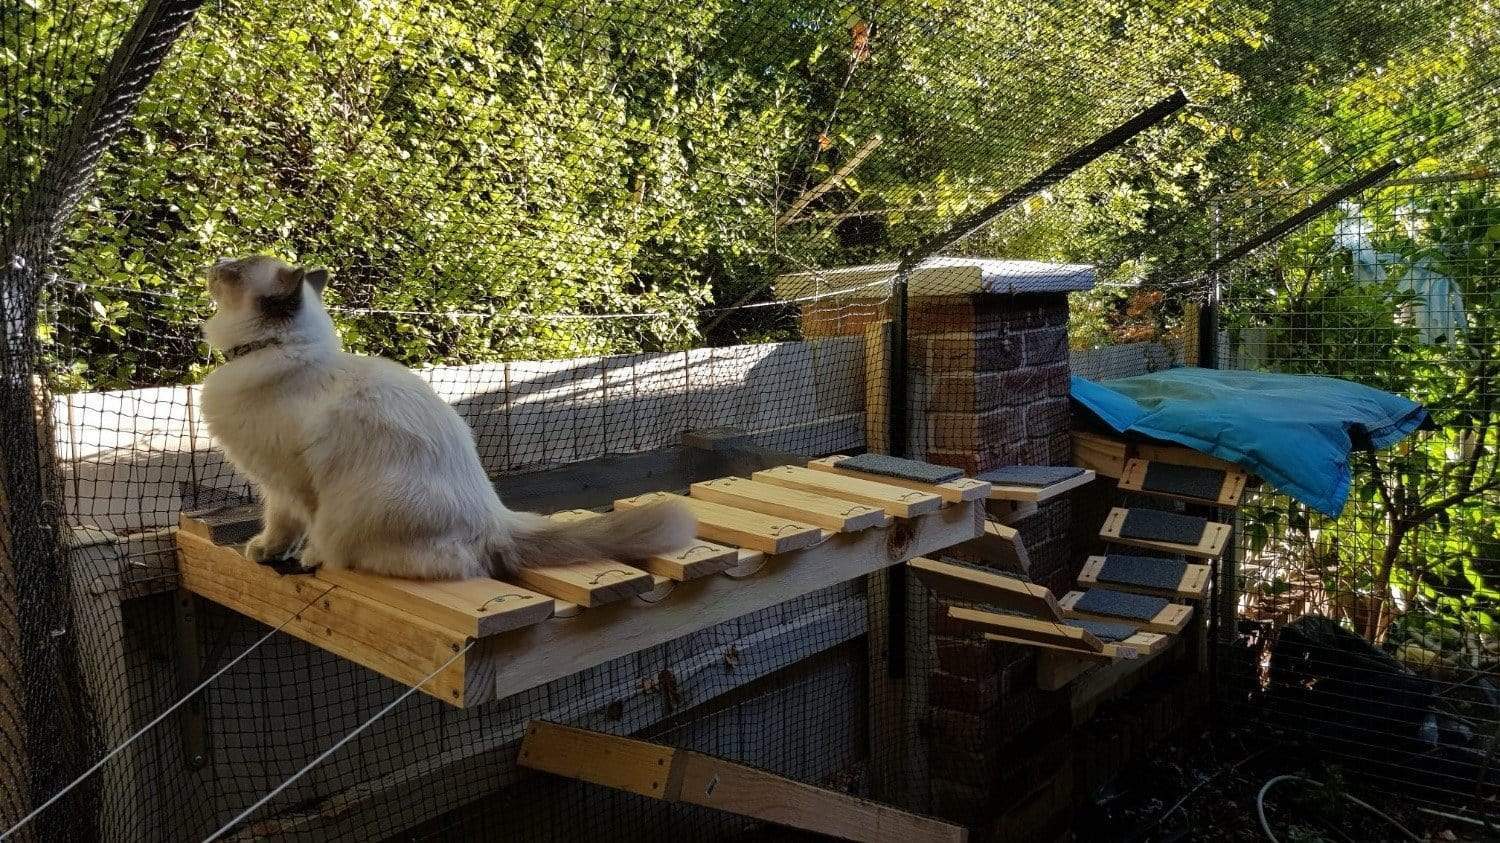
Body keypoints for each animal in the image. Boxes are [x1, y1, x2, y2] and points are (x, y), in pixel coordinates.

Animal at [196, 258, 693, 576]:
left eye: (234, 272)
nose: (214, 262)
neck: (277, 352)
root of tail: (496, 520)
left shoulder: (289, 484)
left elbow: (293, 529)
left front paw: (292, 556)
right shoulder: (274, 485)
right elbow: (279, 527)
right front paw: (266, 552)